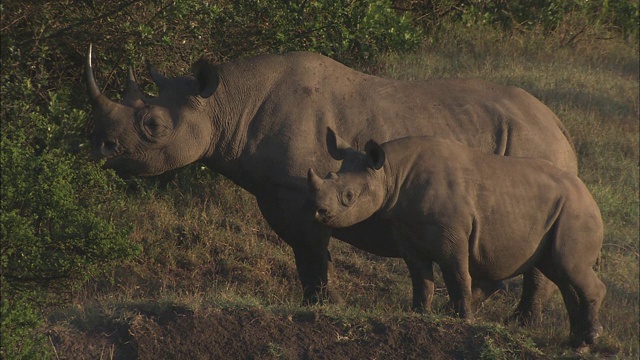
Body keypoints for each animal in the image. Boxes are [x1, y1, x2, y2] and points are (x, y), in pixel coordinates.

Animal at [308, 128, 604, 348]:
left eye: (348, 196)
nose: (317, 211)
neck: (390, 171)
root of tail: (590, 195)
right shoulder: (407, 232)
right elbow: (420, 278)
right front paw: (419, 314)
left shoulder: (452, 233)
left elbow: (456, 273)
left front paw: (463, 320)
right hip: (563, 213)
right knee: (560, 273)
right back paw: (576, 341)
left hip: (576, 214)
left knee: (568, 267)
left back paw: (588, 341)